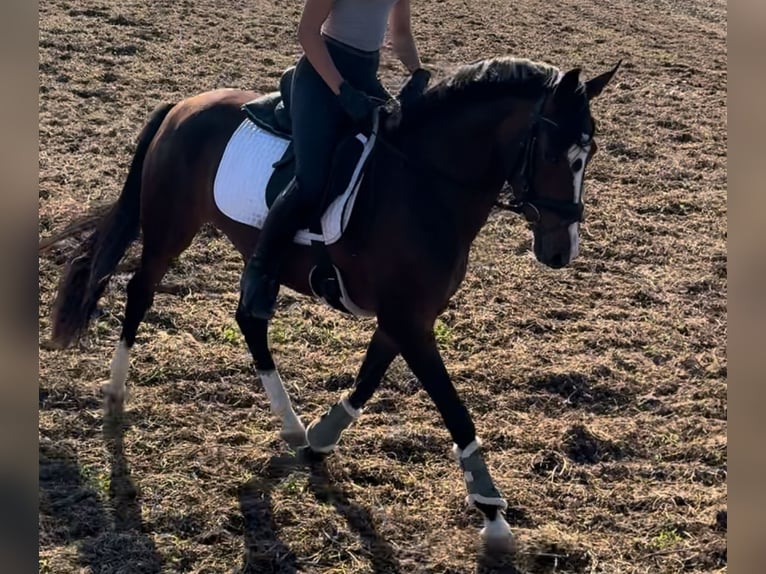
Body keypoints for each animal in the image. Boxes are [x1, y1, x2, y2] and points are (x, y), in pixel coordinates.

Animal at [45, 57, 620, 548]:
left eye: (589, 155)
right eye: (554, 154)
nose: (560, 251)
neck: (427, 184)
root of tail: (183, 106)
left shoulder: (403, 319)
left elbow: (366, 380)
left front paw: (320, 440)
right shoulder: (410, 322)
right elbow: (455, 410)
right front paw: (492, 514)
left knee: (249, 319)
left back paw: (291, 425)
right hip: (170, 228)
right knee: (140, 292)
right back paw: (114, 393)